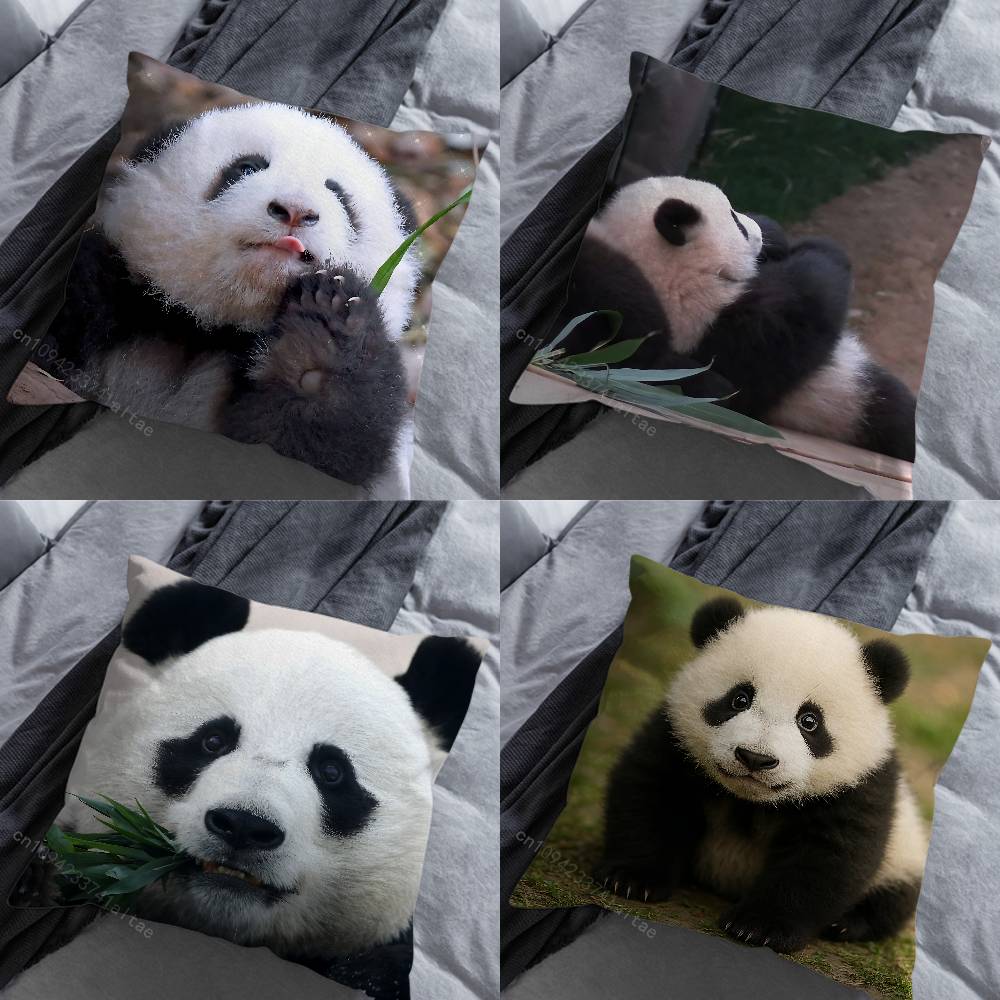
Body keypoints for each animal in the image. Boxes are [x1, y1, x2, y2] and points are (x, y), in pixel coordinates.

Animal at [45, 102, 420, 485]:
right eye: (248, 167)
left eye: (340, 197)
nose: (295, 210)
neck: (202, 328)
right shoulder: (115, 292)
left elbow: (311, 448)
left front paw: (318, 349)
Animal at [563, 176, 917, 462]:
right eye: (735, 221)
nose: (758, 229)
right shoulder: (712, 327)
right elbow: (796, 312)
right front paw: (821, 251)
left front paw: (776, 234)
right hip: (850, 401)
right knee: (893, 413)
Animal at [595, 596, 926, 953]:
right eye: (740, 699)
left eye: (809, 721)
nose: (755, 758)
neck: (752, 801)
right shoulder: (675, 738)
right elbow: (652, 795)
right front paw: (632, 878)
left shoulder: (861, 784)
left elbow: (829, 854)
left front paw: (760, 926)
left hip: (905, 855)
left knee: (894, 899)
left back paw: (846, 923)